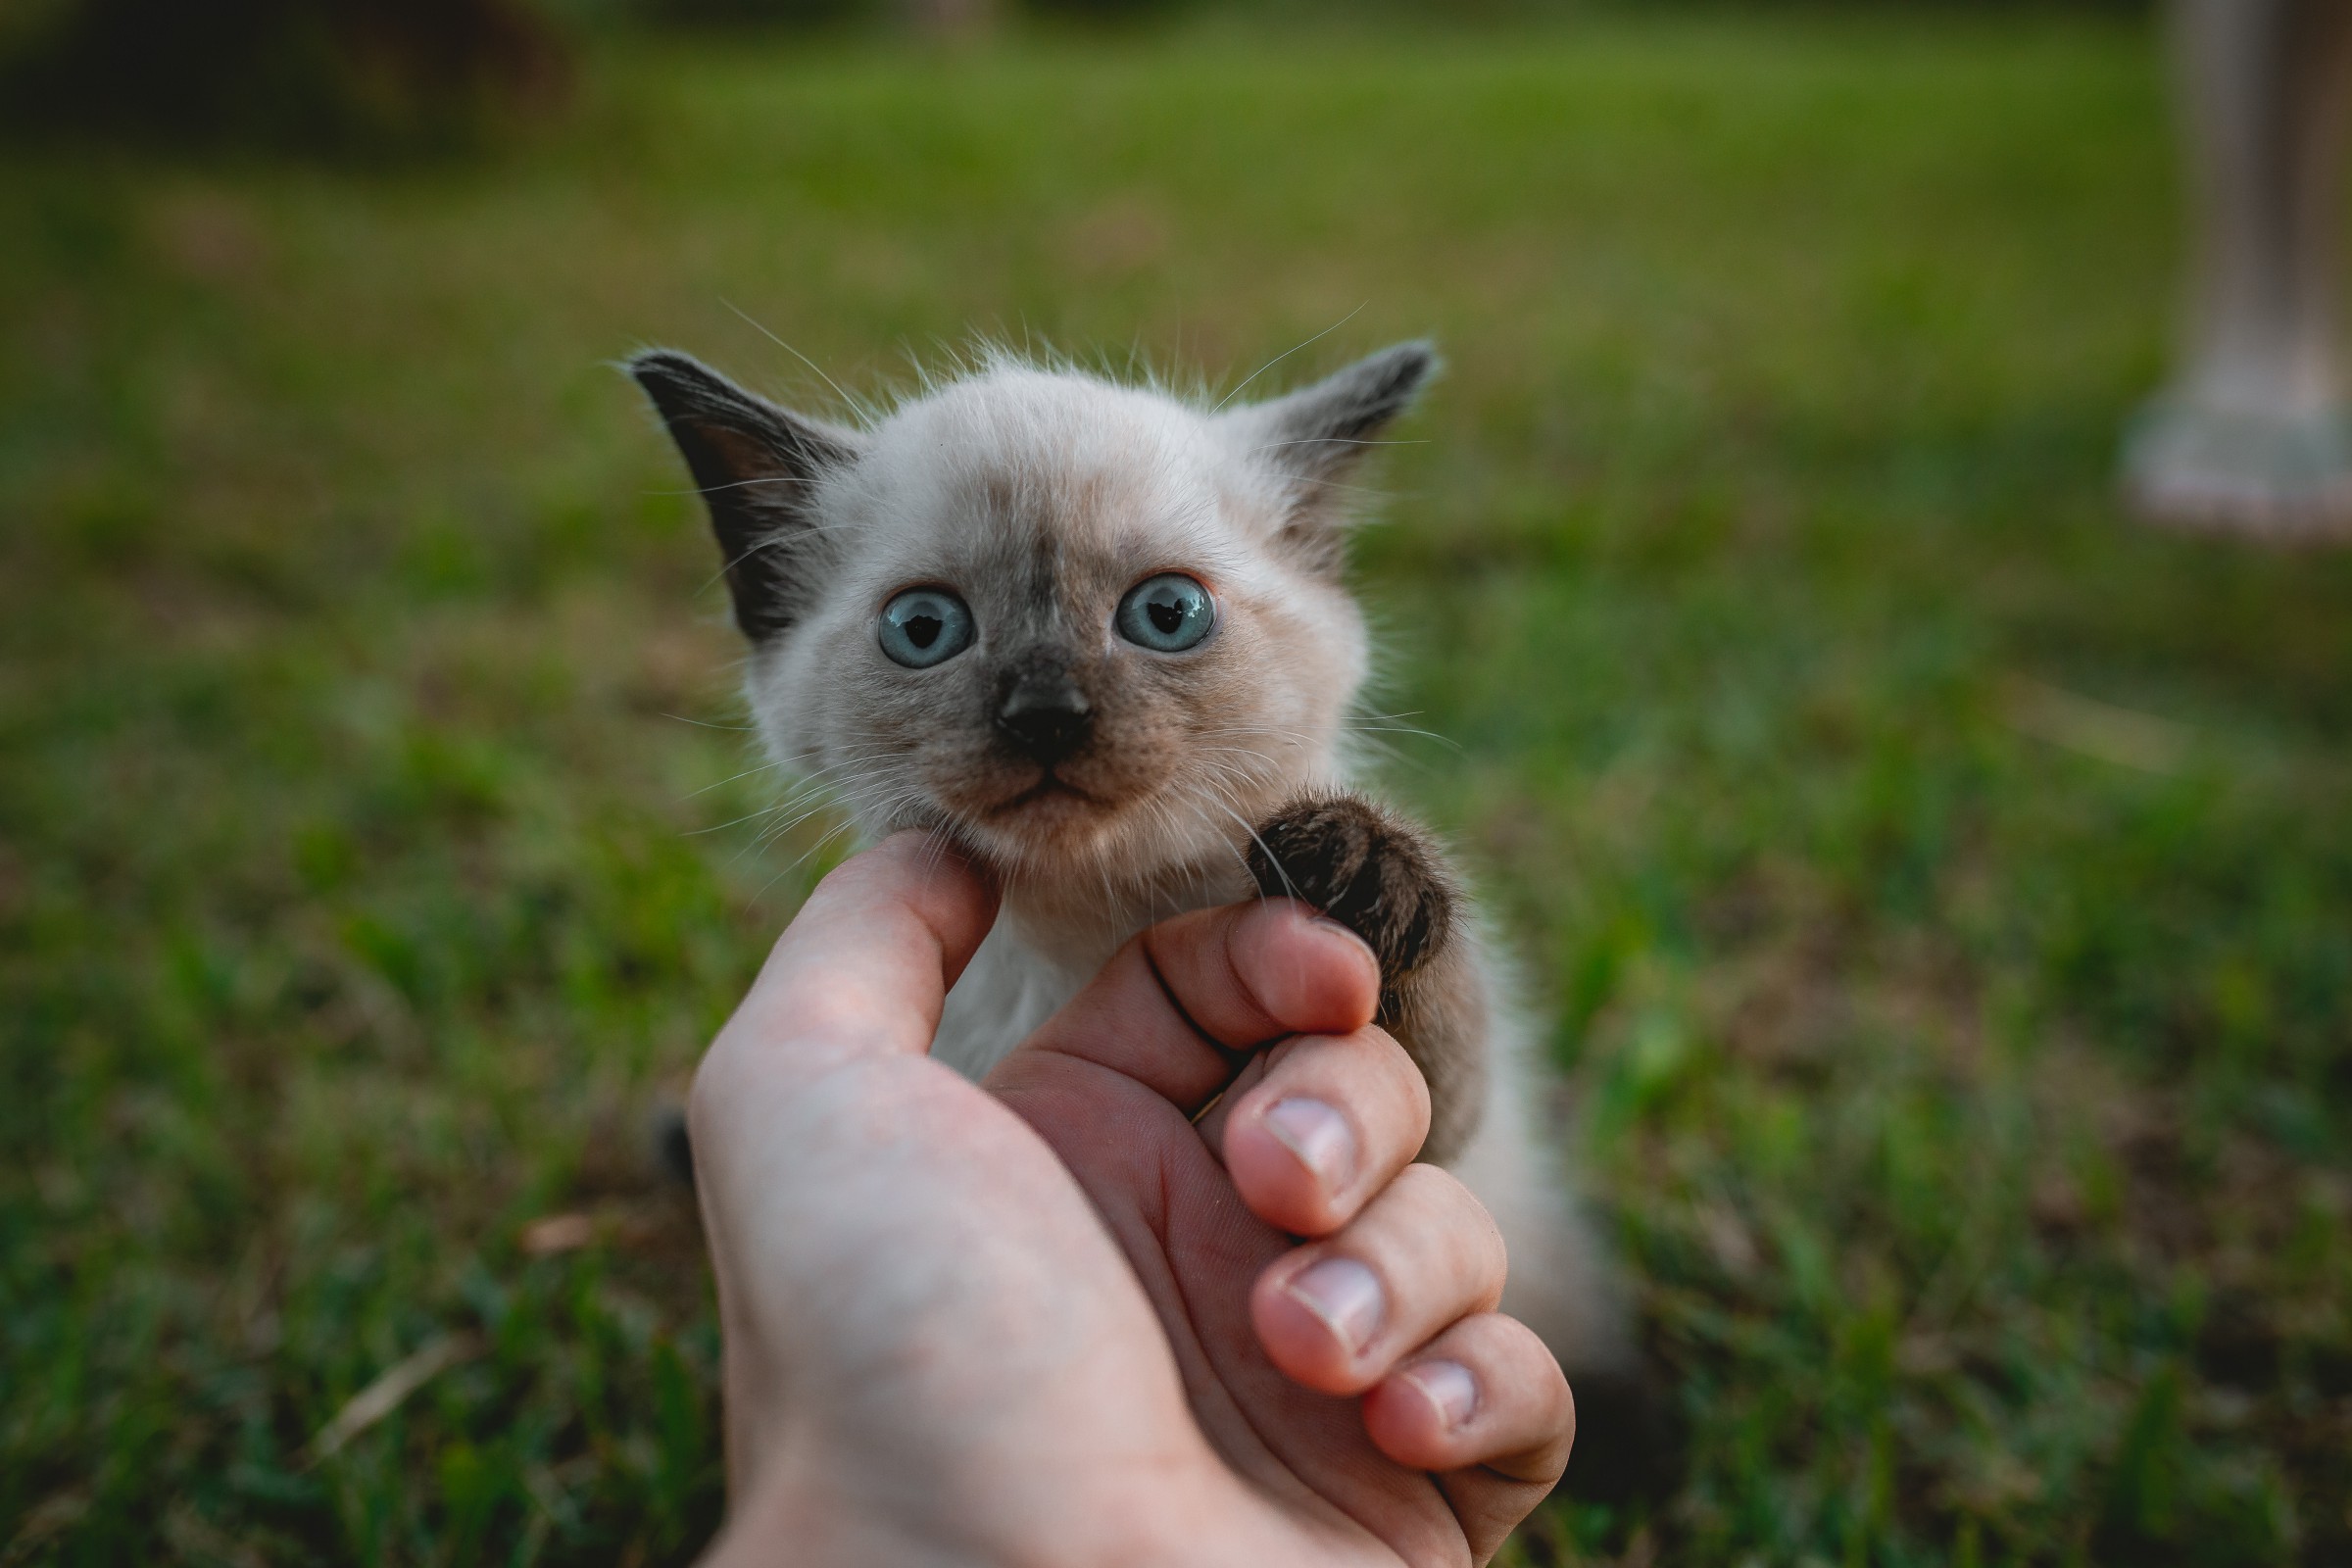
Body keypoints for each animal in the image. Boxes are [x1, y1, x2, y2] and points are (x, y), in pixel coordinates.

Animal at [635, 340, 1646, 1410]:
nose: (1046, 712)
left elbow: (1426, 1053)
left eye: (1167, 614)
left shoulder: (1449, 1136)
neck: (1089, 931)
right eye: (923, 628)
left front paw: (1361, 868)